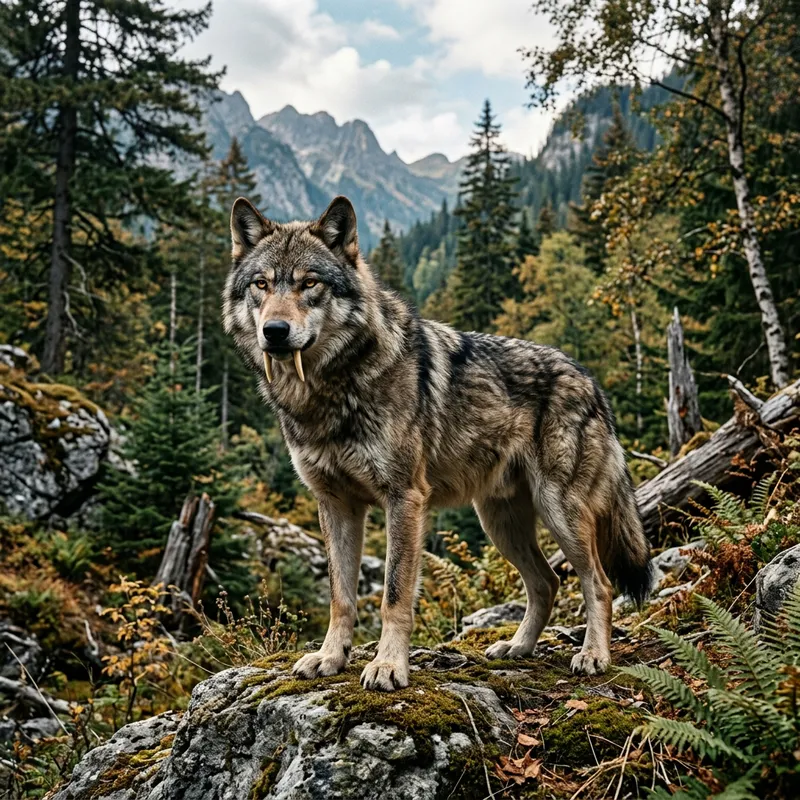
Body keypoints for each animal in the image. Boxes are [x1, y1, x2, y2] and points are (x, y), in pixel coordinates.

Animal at [222, 195, 652, 692]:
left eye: (309, 283)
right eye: (261, 284)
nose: (274, 331)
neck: (327, 391)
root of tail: (591, 381)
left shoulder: (404, 498)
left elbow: (393, 595)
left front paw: (388, 666)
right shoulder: (334, 504)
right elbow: (340, 596)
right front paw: (330, 658)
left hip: (559, 511)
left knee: (597, 583)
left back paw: (593, 655)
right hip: (499, 523)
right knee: (547, 583)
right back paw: (518, 648)